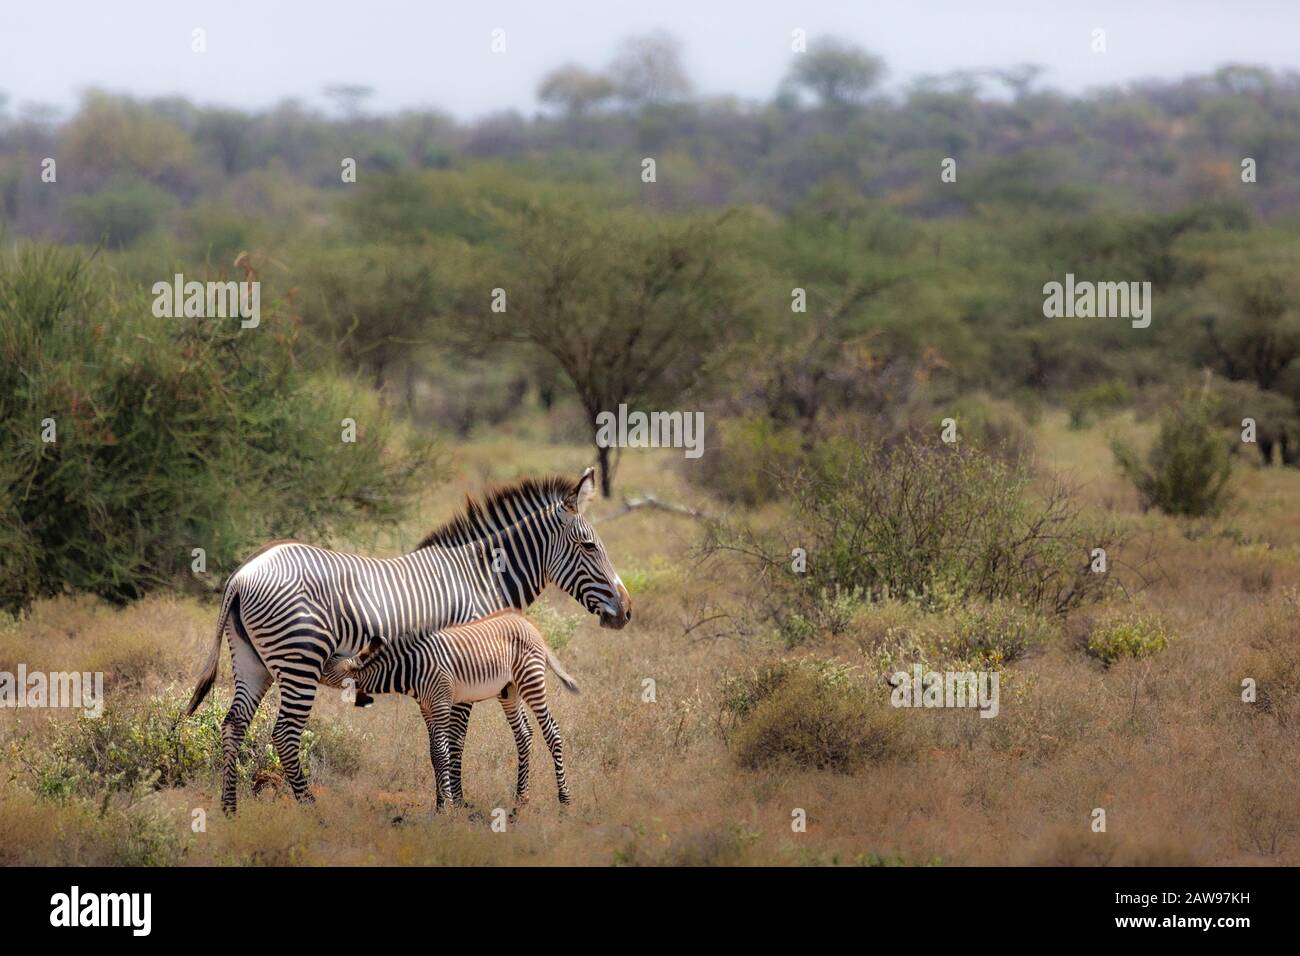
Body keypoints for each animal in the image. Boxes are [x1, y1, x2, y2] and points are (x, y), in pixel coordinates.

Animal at [322, 608, 577, 811]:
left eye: (325, 665)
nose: (313, 663)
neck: (412, 669)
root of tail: (529, 624)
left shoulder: (441, 703)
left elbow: (443, 752)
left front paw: (447, 806)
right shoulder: (427, 708)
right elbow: (434, 754)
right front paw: (439, 804)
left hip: (531, 680)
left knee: (552, 731)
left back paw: (564, 800)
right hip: (509, 690)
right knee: (523, 735)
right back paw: (520, 799)